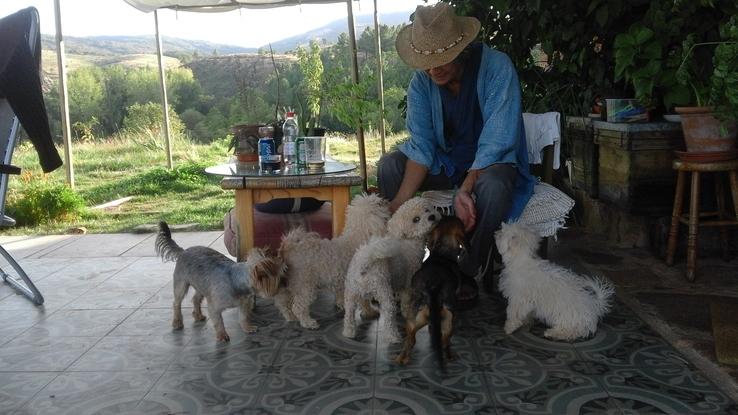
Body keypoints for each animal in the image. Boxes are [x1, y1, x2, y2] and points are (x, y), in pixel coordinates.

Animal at [274, 193, 392, 330]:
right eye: (378, 203)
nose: (385, 200)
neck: (357, 238)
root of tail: (289, 246)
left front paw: (341, 304)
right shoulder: (358, 282)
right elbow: (364, 301)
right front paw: (370, 312)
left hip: (290, 282)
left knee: (282, 302)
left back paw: (290, 317)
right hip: (305, 285)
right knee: (298, 307)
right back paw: (308, 322)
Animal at [340, 198, 436, 344]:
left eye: (427, 209)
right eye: (416, 219)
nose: (432, 217)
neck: (408, 240)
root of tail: (364, 261)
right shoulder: (408, 283)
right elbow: (406, 302)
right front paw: (407, 314)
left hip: (351, 293)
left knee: (349, 313)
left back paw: (349, 332)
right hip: (383, 292)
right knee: (388, 315)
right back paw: (393, 337)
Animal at [394, 214, 462, 368]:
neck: (442, 254)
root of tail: (433, 288)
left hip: (415, 318)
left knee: (411, 338)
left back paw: (402, 358)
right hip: (449, 317)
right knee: (445, 340)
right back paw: (449, 355)